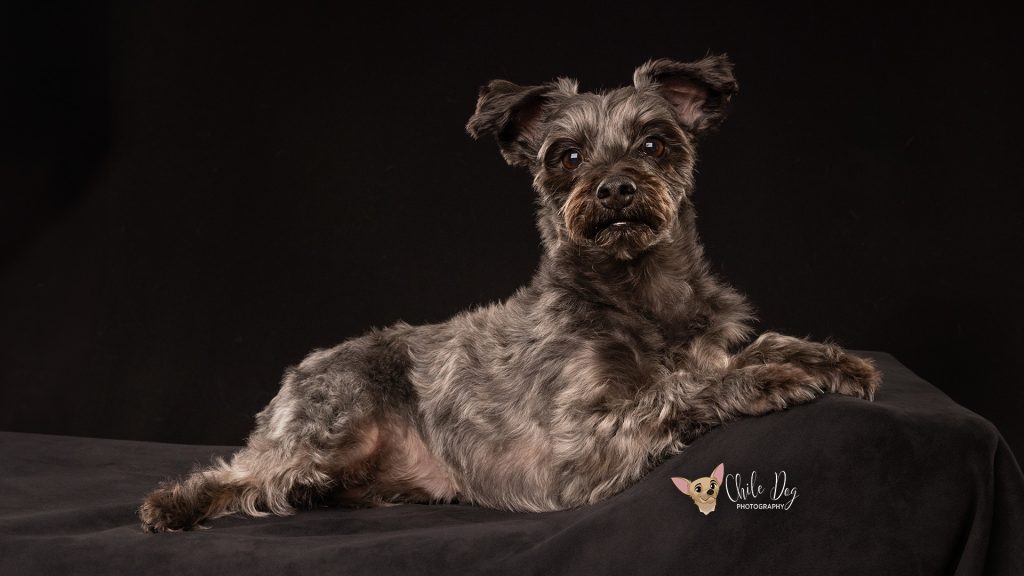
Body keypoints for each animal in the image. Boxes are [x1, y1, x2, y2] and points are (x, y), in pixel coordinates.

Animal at [140, 53, 884, 528]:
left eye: (653, 143)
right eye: (568, 157)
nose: (615, 189)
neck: (637, 294)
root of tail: (299, 369)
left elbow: (730, 355)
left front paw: (821, 357)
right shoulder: (581, 449)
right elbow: (678, 388)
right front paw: (770, 377)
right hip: (331, 421)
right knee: (249, 472)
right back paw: (171, 505)